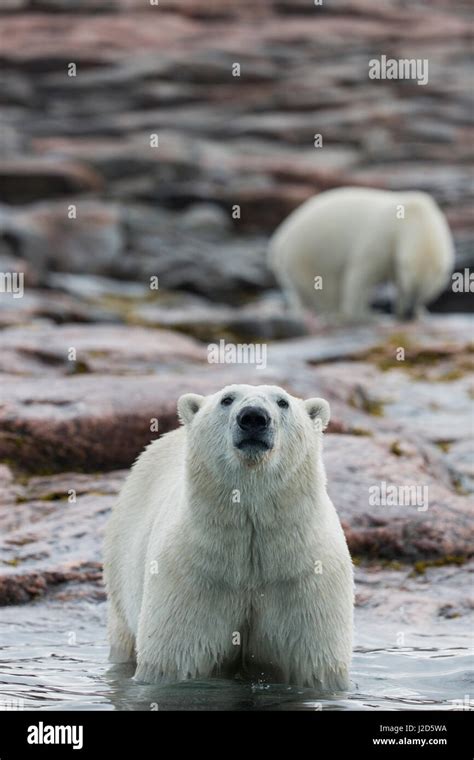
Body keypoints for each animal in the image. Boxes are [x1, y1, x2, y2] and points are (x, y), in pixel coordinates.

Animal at [105, 382, 354, 692]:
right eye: (227, 399)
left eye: (282, 402)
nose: (254, 417)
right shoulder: (193, 577)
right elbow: (175, 658)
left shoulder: (303, 578)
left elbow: (315, 663)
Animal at [268, 190, 454, 324]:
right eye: (411, 287)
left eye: (424, 292)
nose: (409, 312)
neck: (415, 218)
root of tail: (279, 241)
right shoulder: (383, 237)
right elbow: (362, 274)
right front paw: (365, 315)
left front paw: (418, 313)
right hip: (308, 253)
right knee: (325, 287)